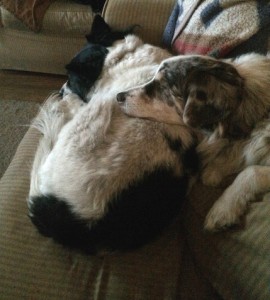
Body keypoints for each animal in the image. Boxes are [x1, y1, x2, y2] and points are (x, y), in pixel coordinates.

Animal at [28, 17, 199, 254]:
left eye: (71, 79)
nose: (61, 90)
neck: (120, 59)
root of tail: (91, 226)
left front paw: (64, 100)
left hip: (91, 118)